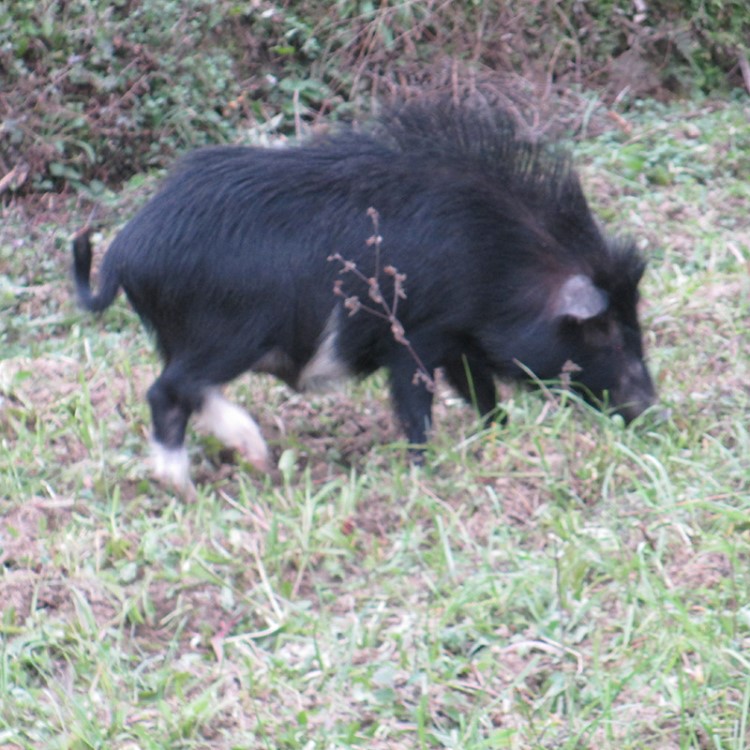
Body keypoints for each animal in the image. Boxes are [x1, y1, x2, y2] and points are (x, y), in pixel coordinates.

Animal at [73, 101, 656, 500]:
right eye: (605, 329)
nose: (653, 408)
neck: (499, 264)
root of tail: (125, 248)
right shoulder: (416, 336)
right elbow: (416, 404)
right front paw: (424, 468)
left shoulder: (458, 339)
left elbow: (480, 392)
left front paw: (495, 435)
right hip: (226, 334)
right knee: (167, 391)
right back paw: (198, 482)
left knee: (188, 391)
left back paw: (250, 464)